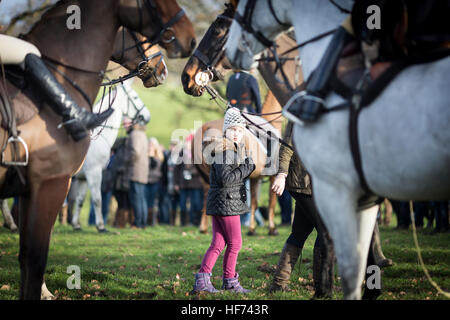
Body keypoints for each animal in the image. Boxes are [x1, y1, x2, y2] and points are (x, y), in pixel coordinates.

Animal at [0, 0, 195, 300]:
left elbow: (73, 208)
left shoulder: (65, 182)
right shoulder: (67, 180)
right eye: (134, 97)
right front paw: (101, 227)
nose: (162, 69)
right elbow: (94, 204)